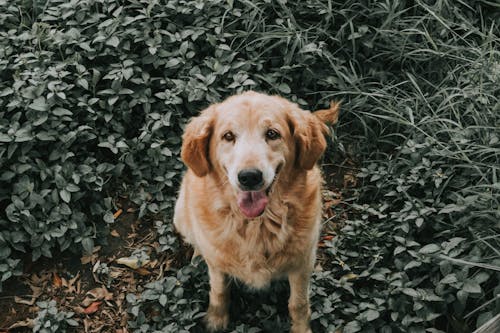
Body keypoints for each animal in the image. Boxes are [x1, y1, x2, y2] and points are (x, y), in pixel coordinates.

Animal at [173, 89, 340, 330]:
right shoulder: (218, 268)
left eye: (272, 133)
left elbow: (298, 304)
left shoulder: (302, 264)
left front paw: (301, 328)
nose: (249, 177)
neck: (256, 224)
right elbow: (219, 291)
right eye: (228, 136)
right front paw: (216, 319)